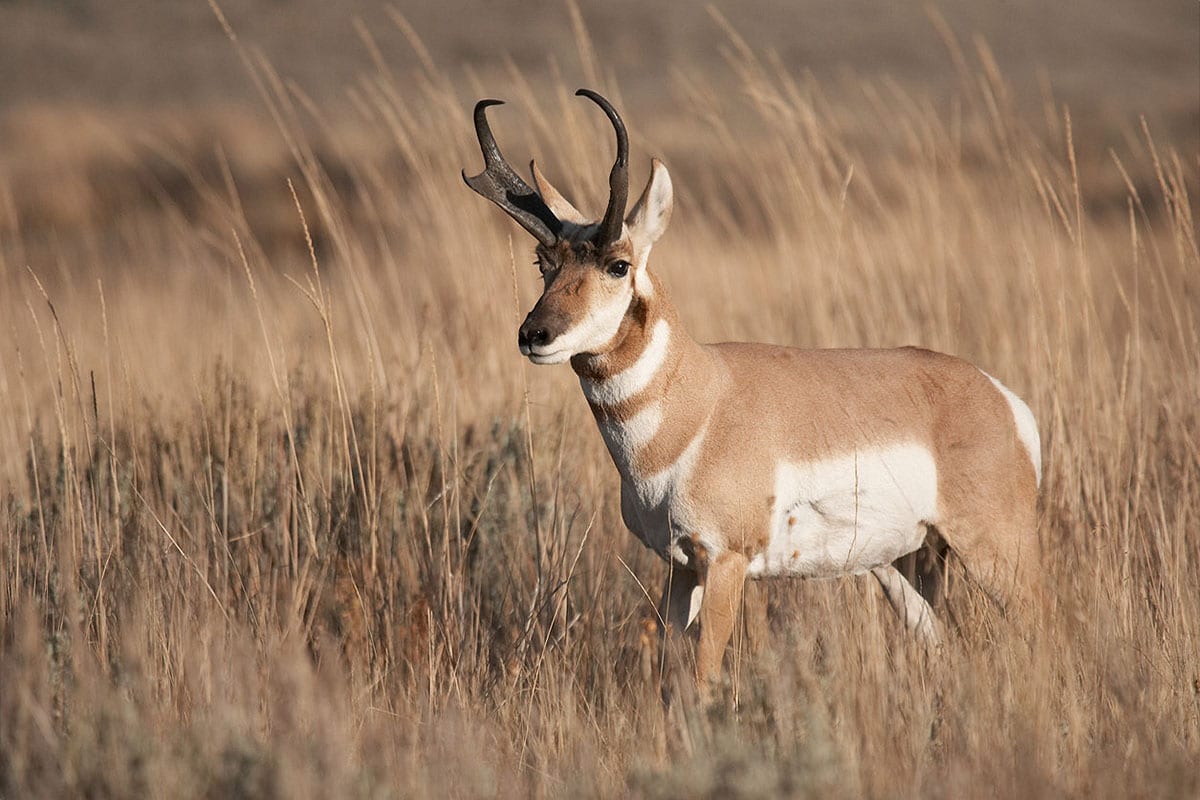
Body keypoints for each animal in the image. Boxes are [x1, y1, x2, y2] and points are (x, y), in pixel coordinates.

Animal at [463, 89, 1042, 691]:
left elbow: (702, 677)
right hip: (903, 564)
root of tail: (1000, 398)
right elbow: (671, 674)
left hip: (998, 551)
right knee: (936, 638)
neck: (699, 400)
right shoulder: (679, 567)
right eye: (543, 264)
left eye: (618, 265)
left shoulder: (726, 562)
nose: (534, 335)